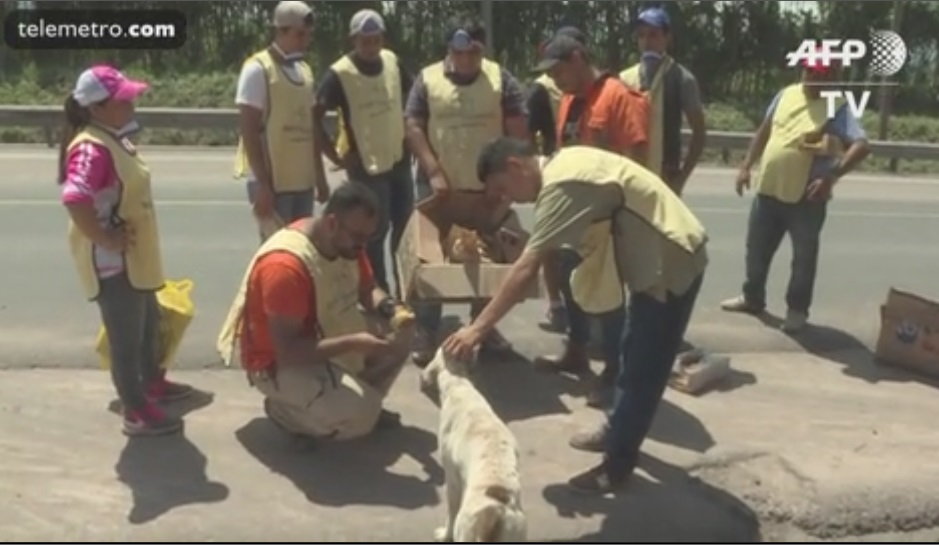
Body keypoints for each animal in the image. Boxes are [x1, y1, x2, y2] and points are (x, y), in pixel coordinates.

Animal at [420, 346, 528, 540]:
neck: (459, 384)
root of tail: (496, 511)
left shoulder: (452, 479)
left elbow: (451, 512)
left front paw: (444, 535)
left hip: (466, 528)